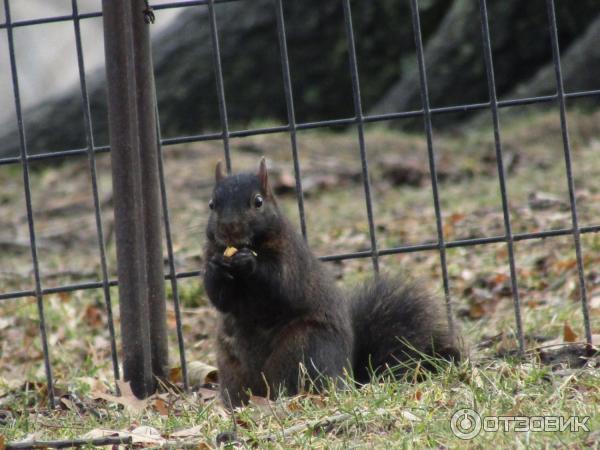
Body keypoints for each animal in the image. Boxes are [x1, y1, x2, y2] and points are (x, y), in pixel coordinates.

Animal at [204, 159, 462, 408]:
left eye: (258, 202)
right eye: (211, 204)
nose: (228, 228)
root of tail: (348, 377)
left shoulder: (292, 259)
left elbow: (281, 286)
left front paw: (249, 262)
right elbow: (219, 298)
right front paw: (216, 268)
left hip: (304, 349)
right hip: (232, 366)